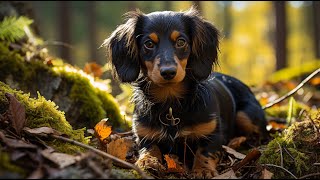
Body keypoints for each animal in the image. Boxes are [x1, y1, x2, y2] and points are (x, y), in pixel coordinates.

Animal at [103, 6, 268, 178]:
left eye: (181, 42)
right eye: (148, 44)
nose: (168, 72)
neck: (171, 105)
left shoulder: (213, 133)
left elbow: (204, 151)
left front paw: (202, 169)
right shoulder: (144, 134)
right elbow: (149, 148)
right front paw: (147, 161)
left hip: (245, 116)